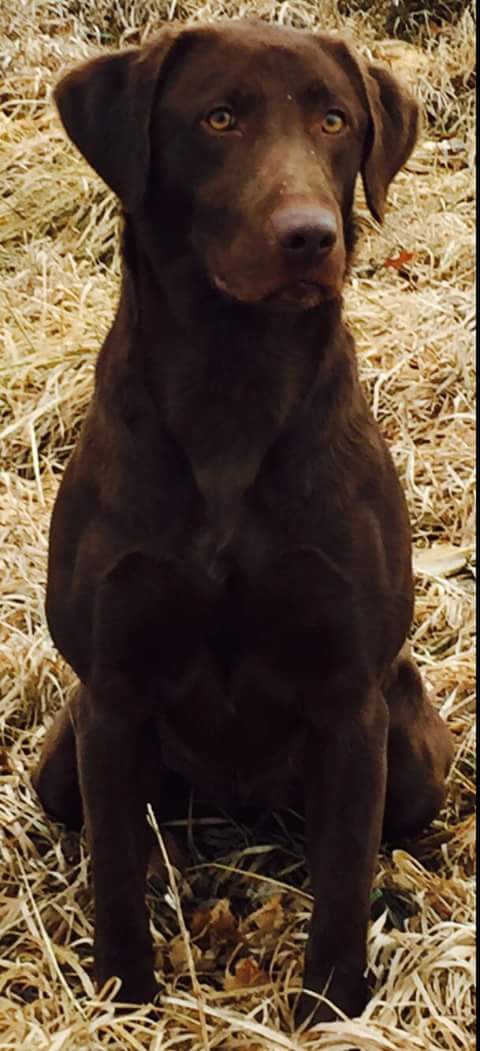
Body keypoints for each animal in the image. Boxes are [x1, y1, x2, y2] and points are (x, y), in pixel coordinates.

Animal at [33, 18, 453, 1025]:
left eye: (335, 120)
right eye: (219, 119)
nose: (310, 237)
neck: (234, 383)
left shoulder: (350, 700)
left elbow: (341, 880)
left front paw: (331, 1010)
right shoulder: (110, 695)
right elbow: (114, 874)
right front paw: (126, 998)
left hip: (414, 746)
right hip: (59, 760)